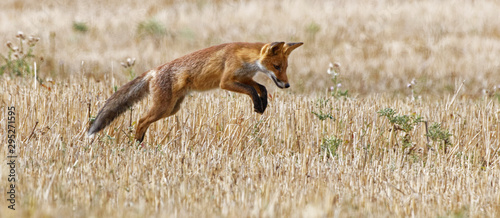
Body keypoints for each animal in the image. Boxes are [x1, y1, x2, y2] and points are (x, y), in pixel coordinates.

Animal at [88, 41, 302, 142]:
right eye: (276, 66)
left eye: (285, 67)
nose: (287, 85)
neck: (246, 59)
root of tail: (154, 70)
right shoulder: (226, 82)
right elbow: (251, 90)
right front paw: (258, 104)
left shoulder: (244, 77)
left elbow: (261, 87)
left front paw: (262, 105)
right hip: (163, 107)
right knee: (141, 120)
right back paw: (136, 144)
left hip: (172, 108)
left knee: (144, 121)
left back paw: (139, 143)